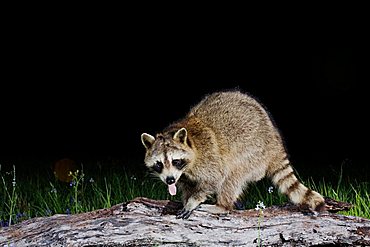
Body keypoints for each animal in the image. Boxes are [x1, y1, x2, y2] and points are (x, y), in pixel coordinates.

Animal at [140, 90, 326, 218]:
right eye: (159, 164)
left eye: (176, 161)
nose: (170, 180)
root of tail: (276, 143)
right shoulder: (182, 175)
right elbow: (186, 186)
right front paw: (186, 198)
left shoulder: (208, 157)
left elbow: (215, 178)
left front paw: (193, 201)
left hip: (253, 153)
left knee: (231, 176)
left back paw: (222, 206)